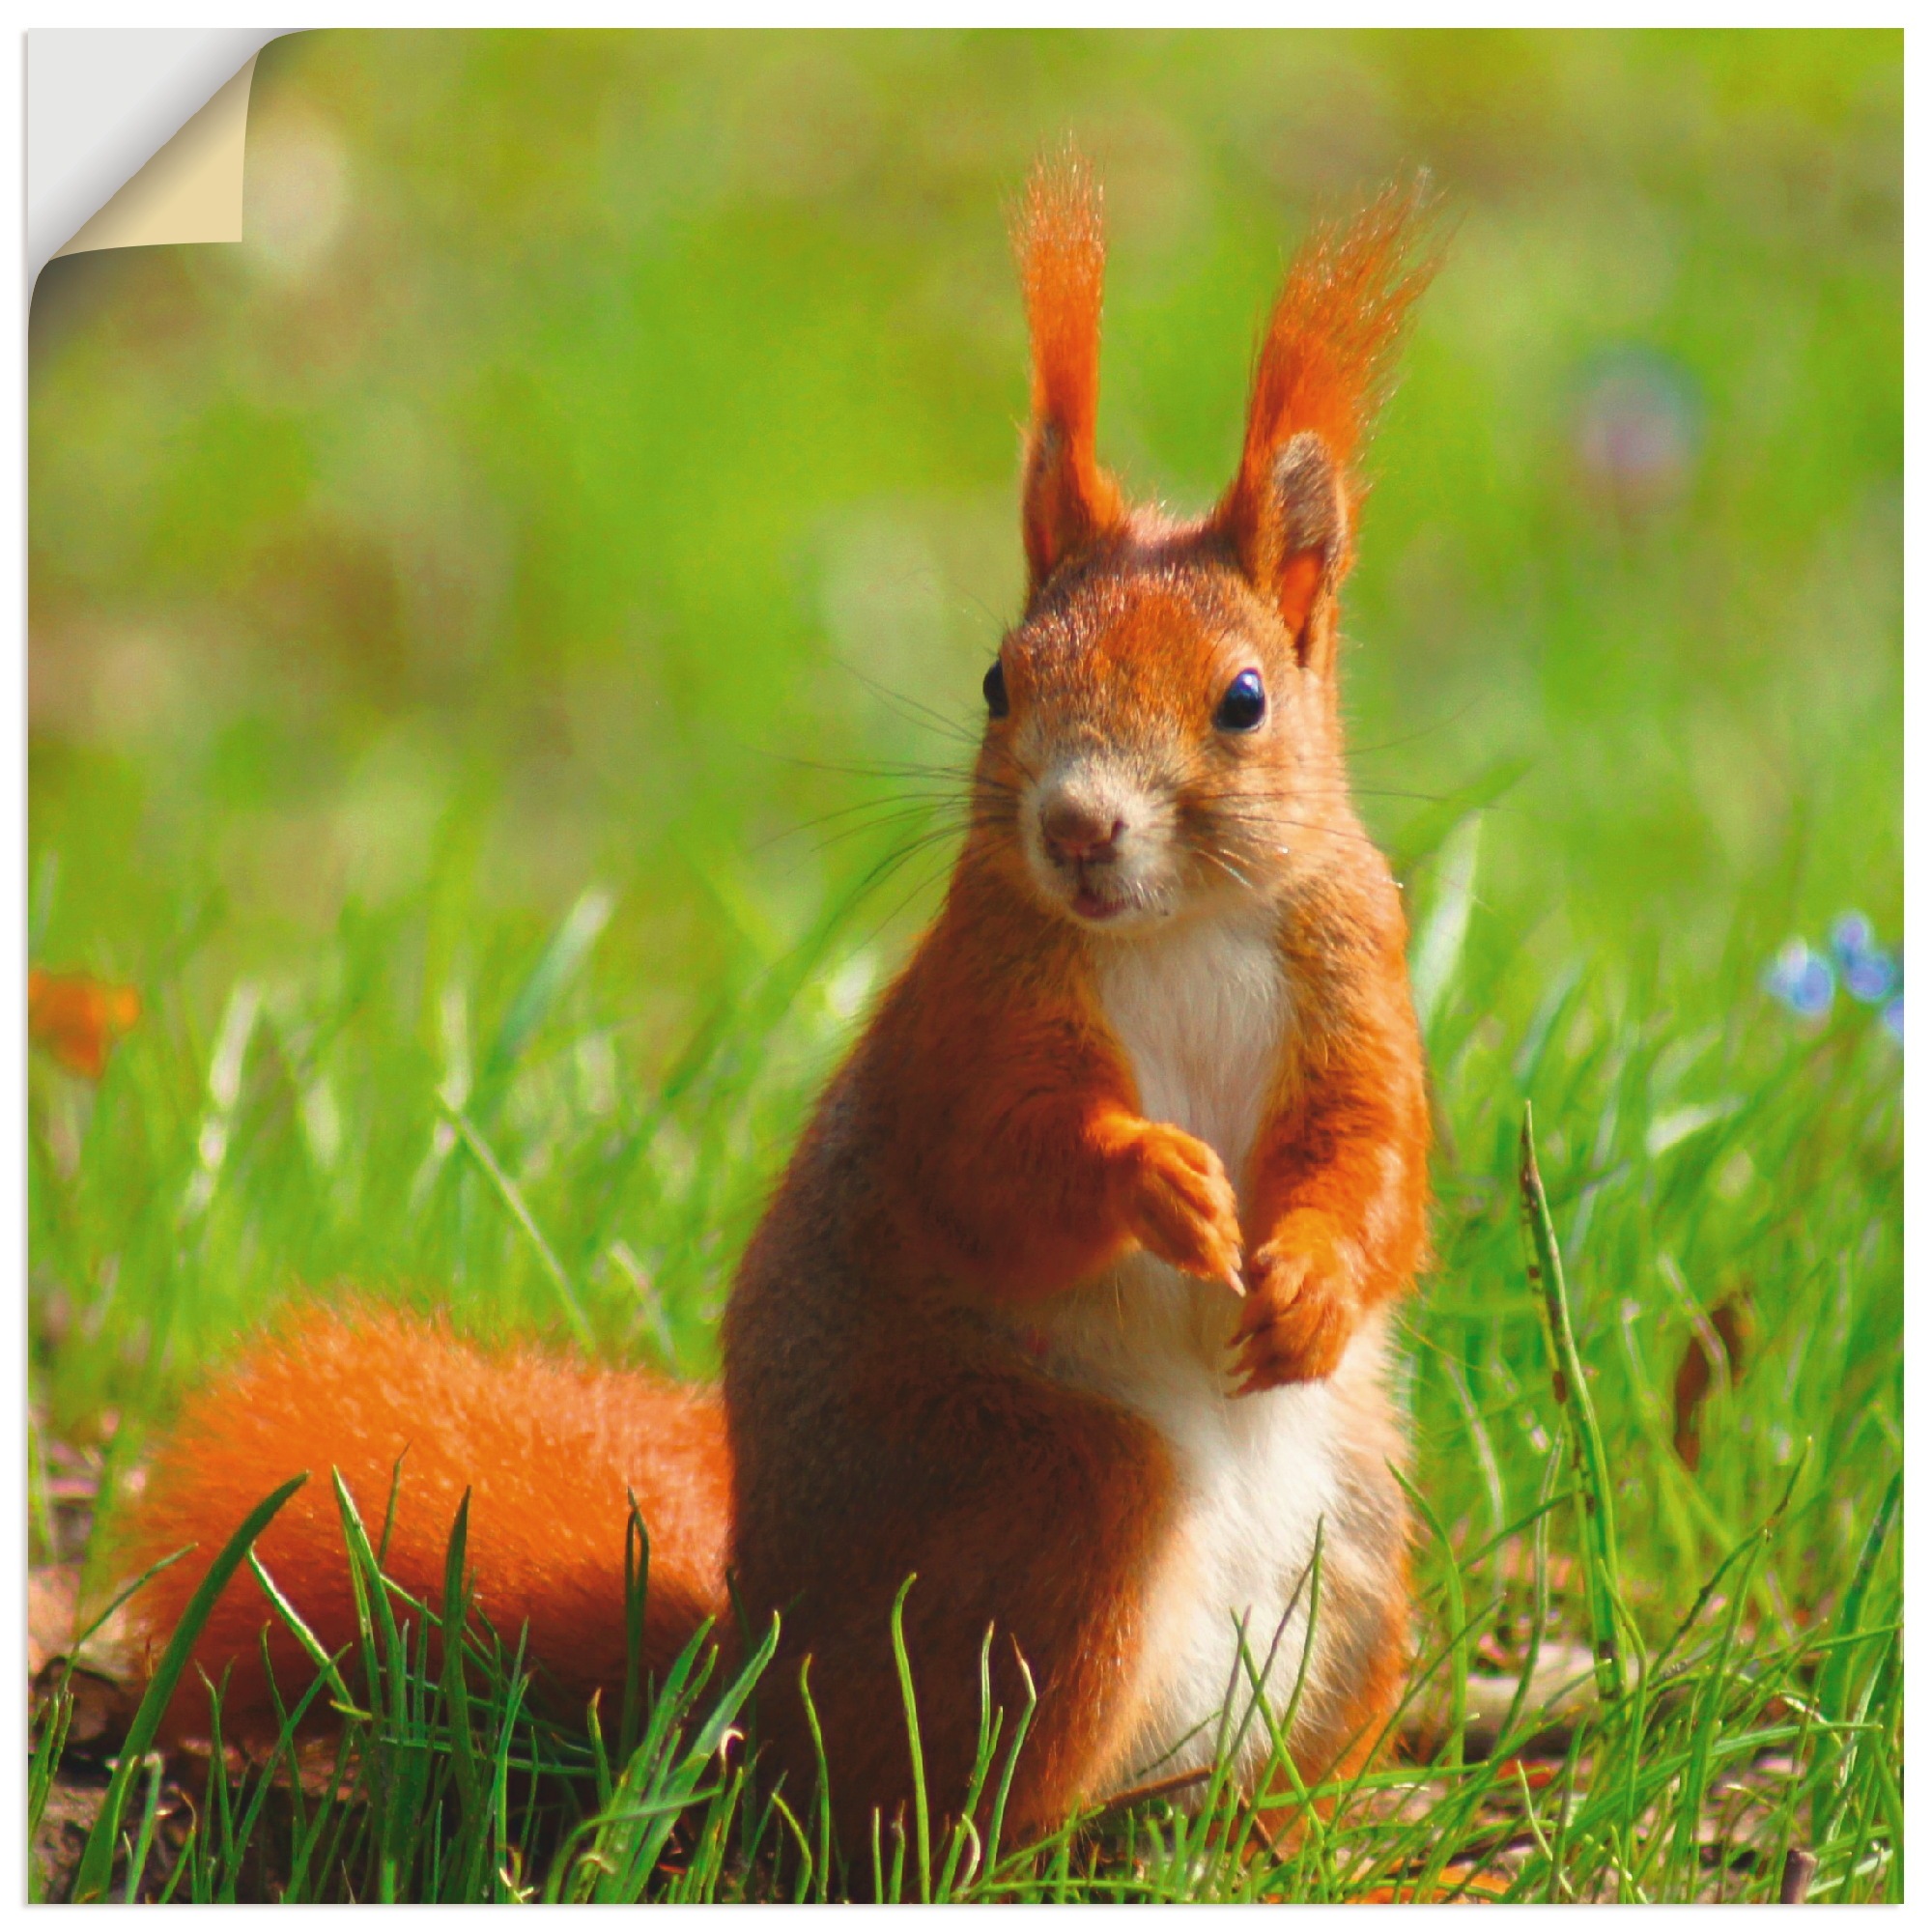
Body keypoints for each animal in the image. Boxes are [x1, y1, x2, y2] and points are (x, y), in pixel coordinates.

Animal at [123, 153, 1438, 1858]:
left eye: (1244, 701)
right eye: (1003, 680)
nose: (1078, 830)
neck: (1184, 926)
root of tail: (745, 1686)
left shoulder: (1356, 976)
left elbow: (1377, 1164)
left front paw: (1315, 1279)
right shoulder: (973, 1013)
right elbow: (991, 1163)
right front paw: (1152, 1177)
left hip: (1359, 1559)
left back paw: (1299, 1841)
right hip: (1049, 1503)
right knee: (938, 1803)